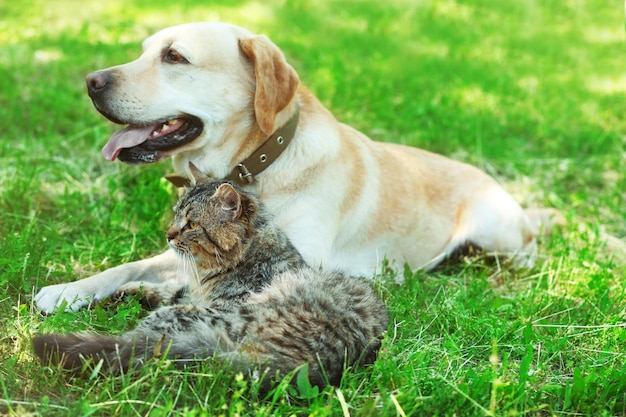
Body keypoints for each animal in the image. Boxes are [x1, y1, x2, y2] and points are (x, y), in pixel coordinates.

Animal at [33, 21, 556, 310]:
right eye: (144, 50)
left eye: (174, 56)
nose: (91, 81)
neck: (255, 167)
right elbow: (127, 266)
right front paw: (69, 290)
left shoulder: (294, 260)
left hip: (496, 231)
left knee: (526, 251)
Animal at [33, 163, 390, 390]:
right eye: (176, 214)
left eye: (191, 224)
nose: (168, 235)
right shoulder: (187, 291)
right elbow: (154, 287)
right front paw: (119, 293)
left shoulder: (203, 302)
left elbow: (161, 296)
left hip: (205, 321)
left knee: (141, 338)